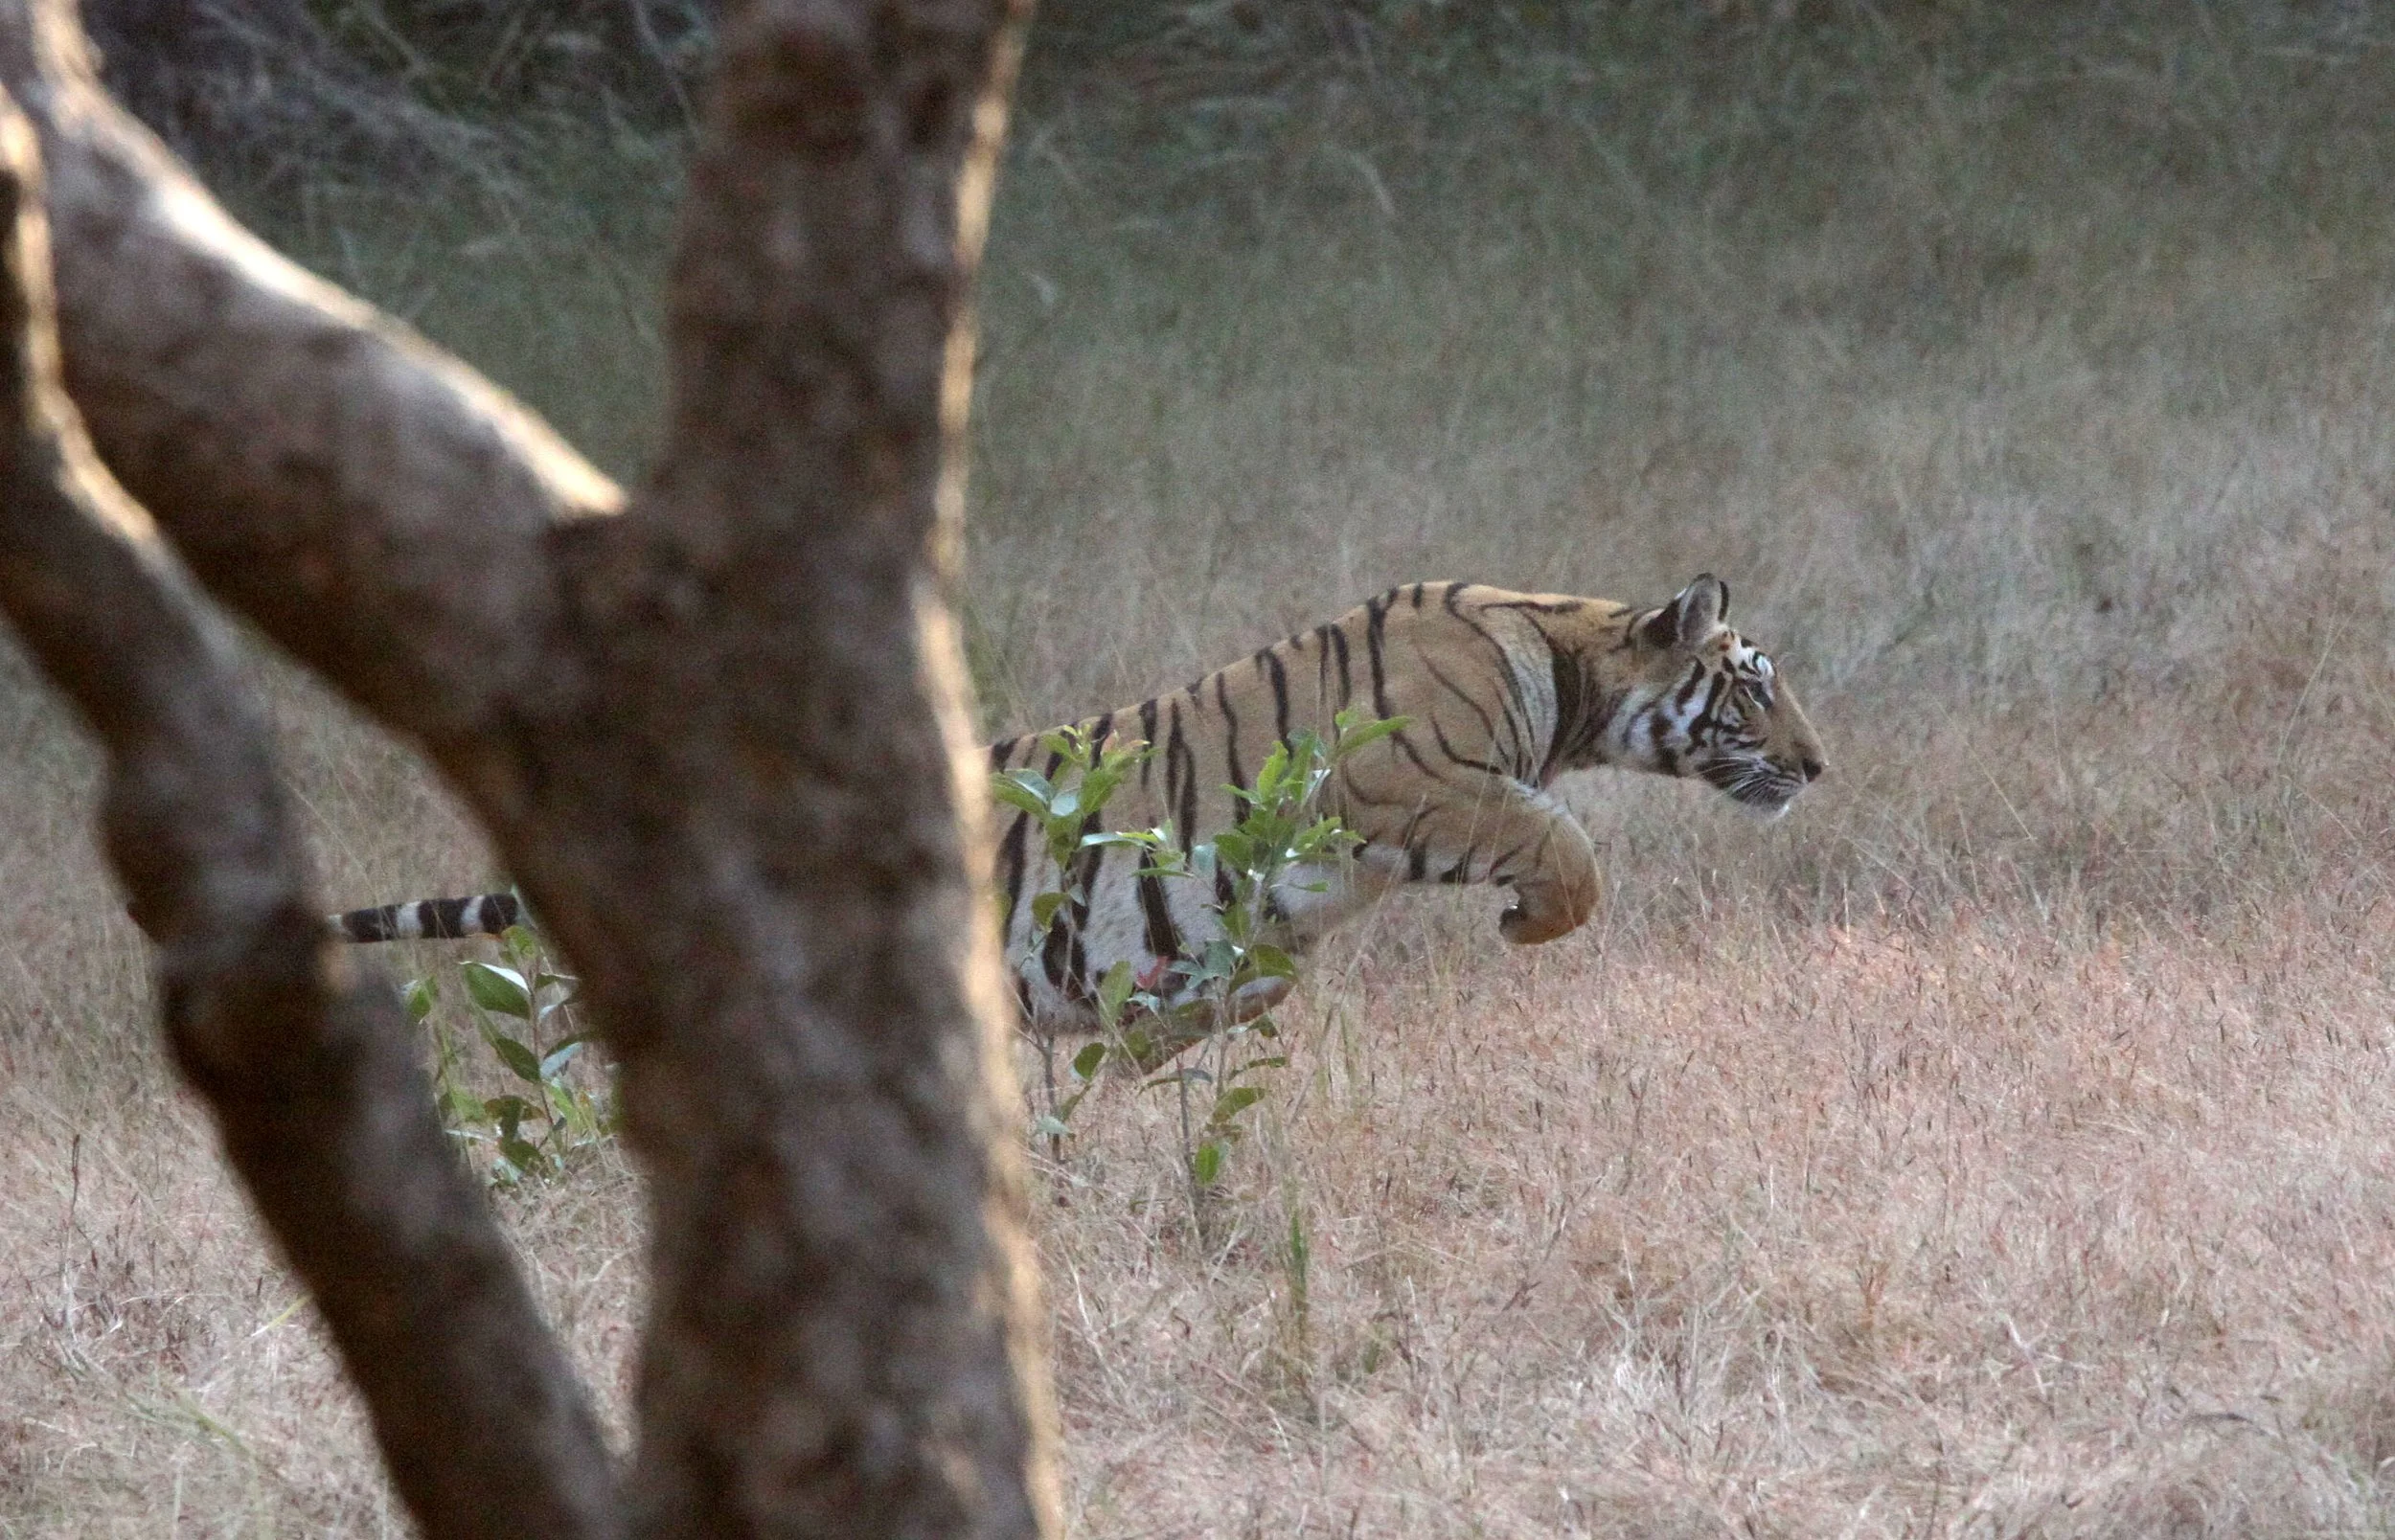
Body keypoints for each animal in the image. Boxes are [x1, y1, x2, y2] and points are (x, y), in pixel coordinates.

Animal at [333, 574, 1826, 1036]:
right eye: (1756, 689)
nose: (1818, 767)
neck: (1568, 662)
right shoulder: (1408, 780)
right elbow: (1556, 840)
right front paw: (1534, 921)